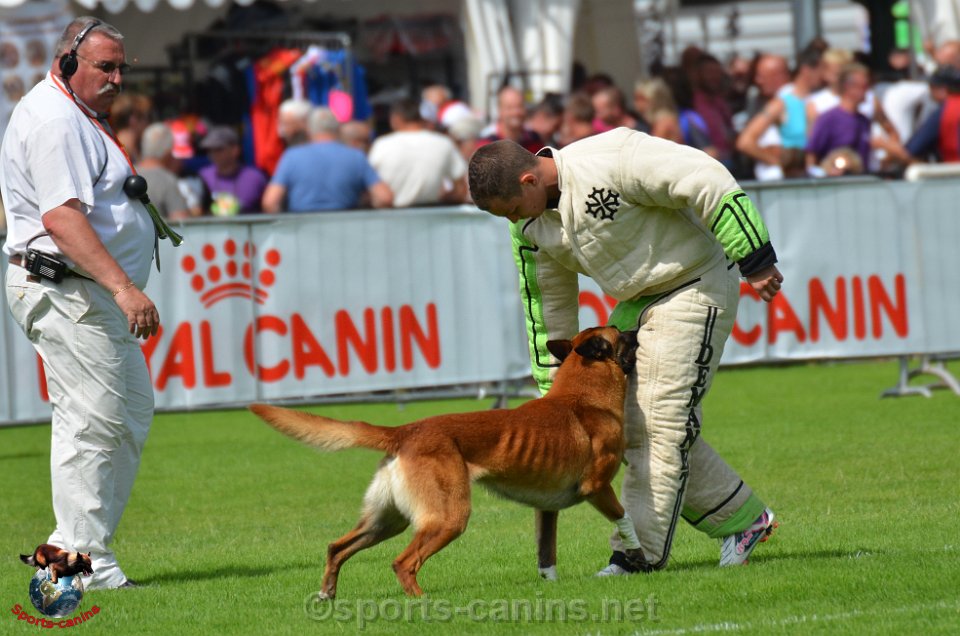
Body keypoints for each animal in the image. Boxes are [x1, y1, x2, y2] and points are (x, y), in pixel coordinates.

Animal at [249, 325, 646, 597]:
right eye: (620, 334)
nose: (637, 328)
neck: (583, 396)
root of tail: (405, 431)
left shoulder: (547, 509)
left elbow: (546, 553)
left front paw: (551, 587)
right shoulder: (597, 488)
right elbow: (626, 519)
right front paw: (639, 556)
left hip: (386, 520)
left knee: (337, 547)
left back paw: (327, 593)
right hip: (447, 518)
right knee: (403, 563)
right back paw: (422, 603)